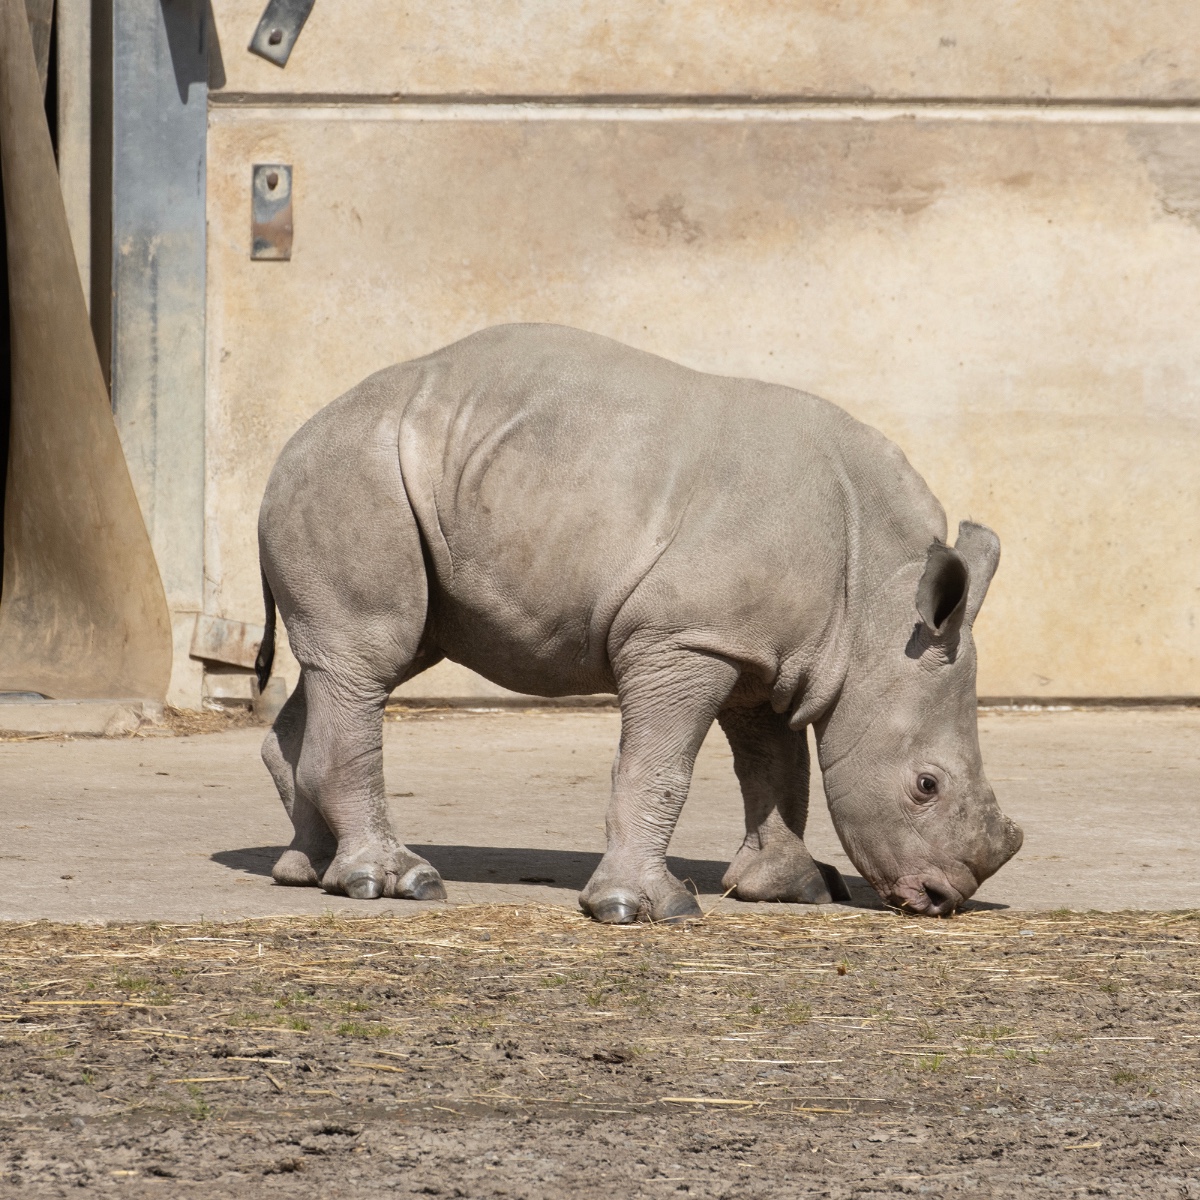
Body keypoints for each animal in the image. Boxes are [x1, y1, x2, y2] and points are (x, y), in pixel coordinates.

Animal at [253, 321, 1022, 916]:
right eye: (926, 787)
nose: (943, 899)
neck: (872, 610)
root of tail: (291, 441)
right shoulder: (685, 640)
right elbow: (662, 767)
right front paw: (644, 908)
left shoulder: (759, 650)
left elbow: (777, 769)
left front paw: (791, 887)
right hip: (352, 473)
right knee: (370, 656)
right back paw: (395, 882)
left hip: (398, 480)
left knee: (358, 663)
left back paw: (310, 873)